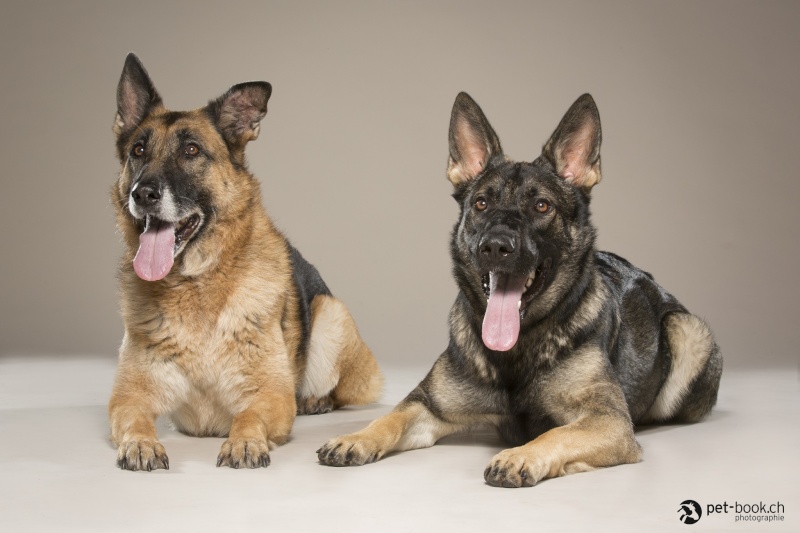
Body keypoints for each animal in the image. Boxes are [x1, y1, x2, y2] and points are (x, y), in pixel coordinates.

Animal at [108, 54, 382, 470]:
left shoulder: (271, 396)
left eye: (191, 151)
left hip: (331, 317)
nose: (143, 194)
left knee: (335, 390)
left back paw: (314, 399)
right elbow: (135, 418)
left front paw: (244, 442)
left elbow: (249, 415)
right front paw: (141, 443)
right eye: (138, 151)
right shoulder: (128, 397)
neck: (196, 285)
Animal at [318, 92, 724, 486]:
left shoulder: (607, 421)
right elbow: (391, 418)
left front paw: (521, 455)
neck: (518, 347)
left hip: (688, 331)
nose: (496, 246)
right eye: (481, 203)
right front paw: (355, 438)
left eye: (541, 206)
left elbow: (557, 433)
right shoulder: (428, 406)